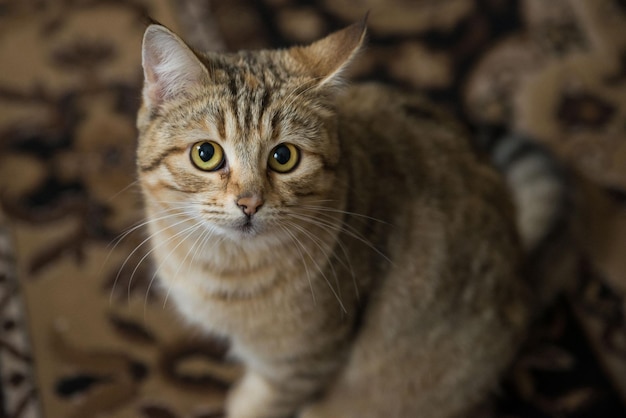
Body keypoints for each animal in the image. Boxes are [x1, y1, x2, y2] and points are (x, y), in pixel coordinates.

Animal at [135, 17, 564, 418]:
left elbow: (258, 404)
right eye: (206, 154)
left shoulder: (301, 363)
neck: (219, 265)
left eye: (283, 156)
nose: (249, 203)